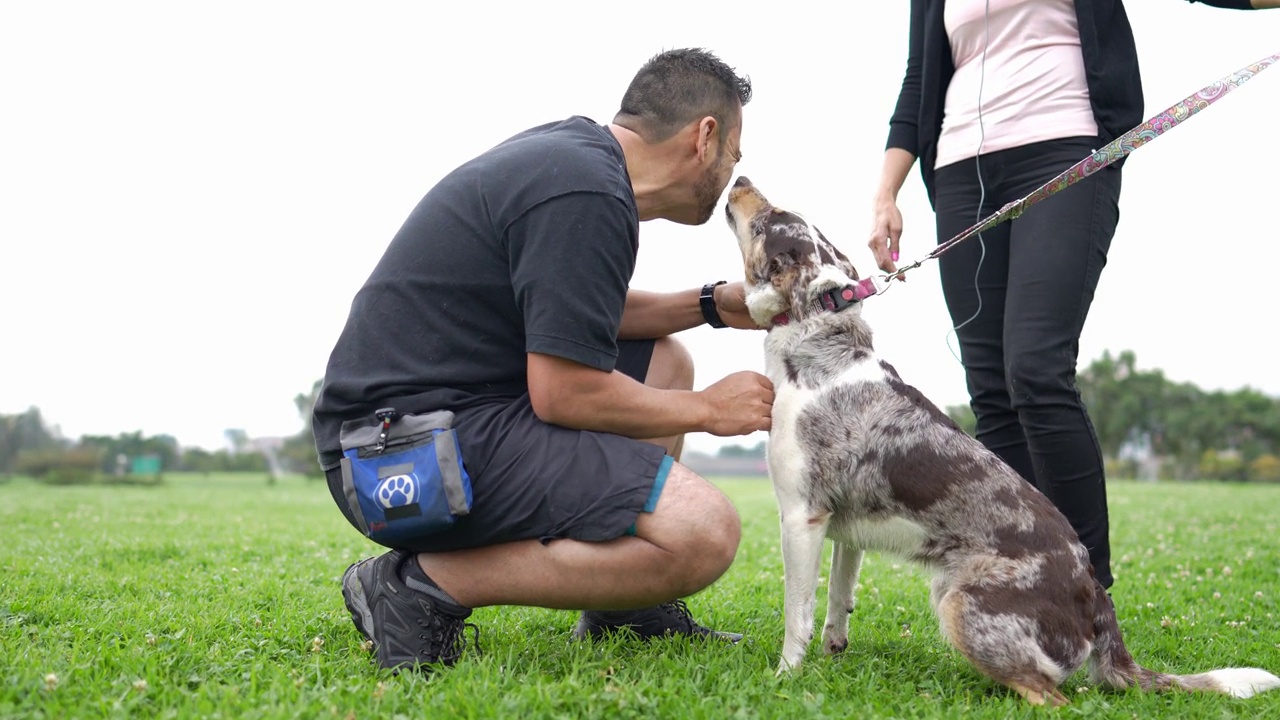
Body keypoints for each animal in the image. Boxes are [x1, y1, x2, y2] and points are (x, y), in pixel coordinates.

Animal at [727, 176, 1274, 702]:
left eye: (770, 220)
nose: (739, 177)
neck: (819, 341)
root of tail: (1097, 600)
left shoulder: (802, 517)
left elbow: (796, 612)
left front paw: (785, 678)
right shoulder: (845, 530)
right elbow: (839, 602)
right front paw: (833, 656)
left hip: (959, 603)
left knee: (1054, 697)